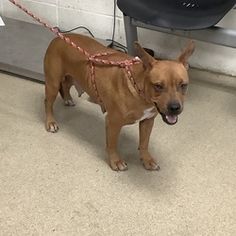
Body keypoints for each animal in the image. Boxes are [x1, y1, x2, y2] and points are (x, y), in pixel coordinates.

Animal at [43, 33, 195, 170]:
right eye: (158, 86)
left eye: (183, 85)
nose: (174, 107)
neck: (139, 89)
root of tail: (59, 37)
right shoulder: (113, 123)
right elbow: (112, 145)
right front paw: (115, 161)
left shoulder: (147, 121)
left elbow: (144, 143)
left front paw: (146, 159)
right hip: (52, 84)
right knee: (48, 103)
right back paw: (50, 122)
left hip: (72, 77)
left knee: (65, 85)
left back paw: (68, 99)